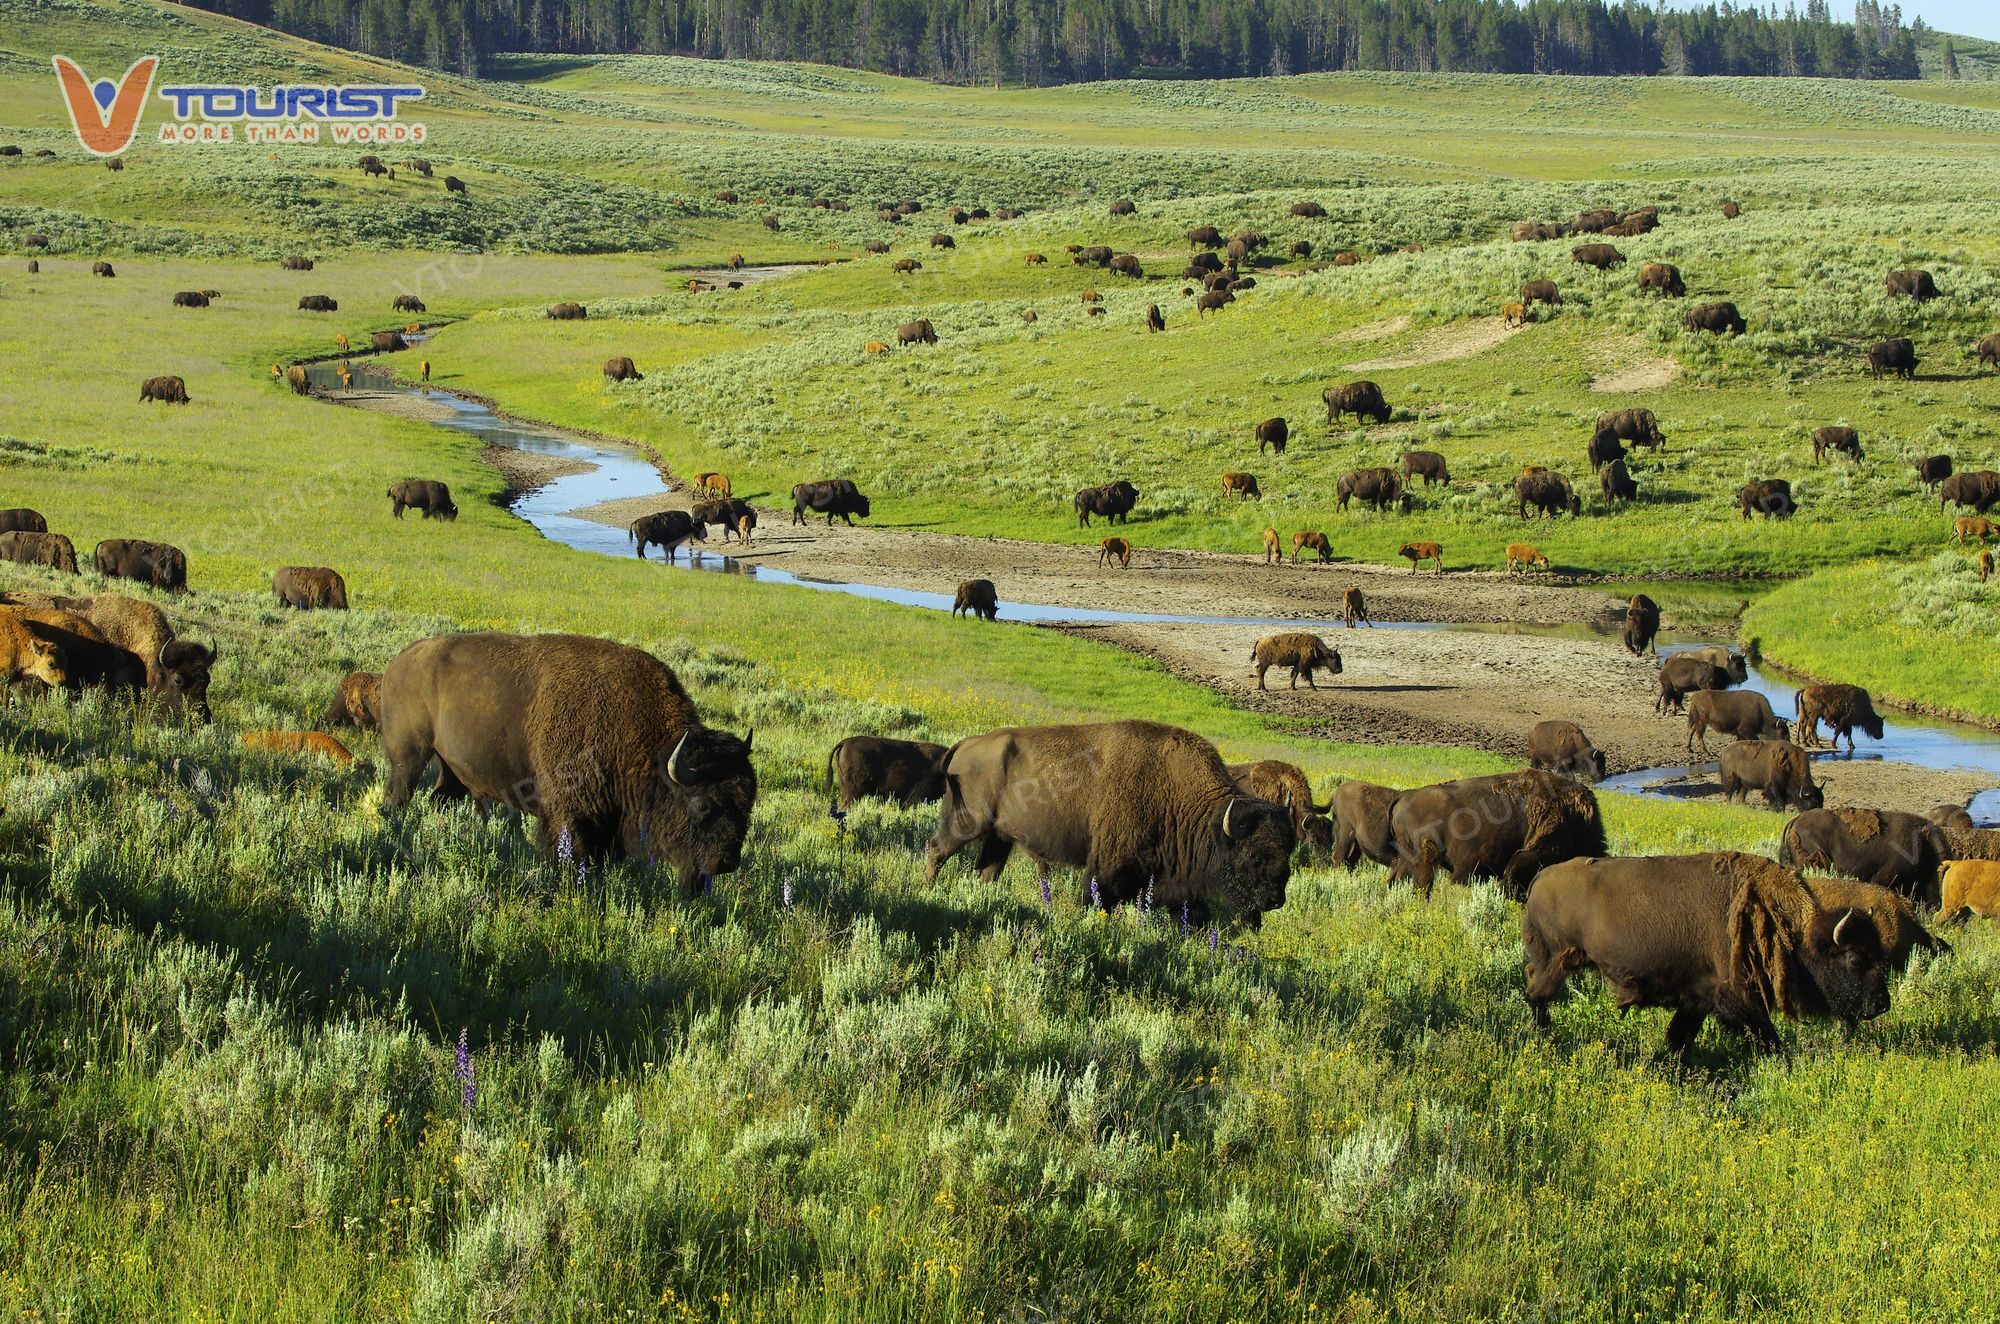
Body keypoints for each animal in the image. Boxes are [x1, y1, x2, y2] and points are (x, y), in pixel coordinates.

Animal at [378, 632, 752, 892]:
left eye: (747, 804)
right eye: (702, 805)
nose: (726, 862)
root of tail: (398, 663)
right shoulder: (569, 816)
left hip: (452, 770)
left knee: (439, 797)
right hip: (409, 758)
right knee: (398, 796)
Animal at [920, 728, 1296, 924]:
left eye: (1287, 854)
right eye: (1252, 855)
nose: (1275, 899)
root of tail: (965, 745)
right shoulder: (1108, 869)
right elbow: (1097, 899)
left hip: (999, 837)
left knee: (986, 870)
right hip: (965, 823)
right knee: (936, 850)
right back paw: (928, 890)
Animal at [1520, 856, 1880, 1064]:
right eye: (1855, 960)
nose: (1881, 1004)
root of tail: (1540, 877)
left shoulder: (1699, 999)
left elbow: (1682, 1035)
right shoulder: (1736, 997)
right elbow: (1765, 1033)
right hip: (1556, 960)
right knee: (1537, 992)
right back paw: (1544, 1033)